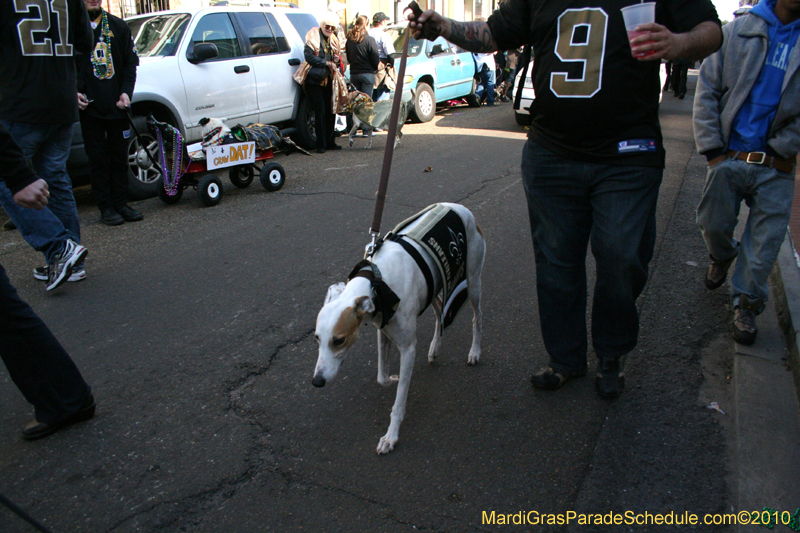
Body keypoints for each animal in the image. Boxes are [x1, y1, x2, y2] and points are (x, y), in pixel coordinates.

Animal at [312, 203, 488, 454]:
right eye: (317, 338)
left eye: (339, 340)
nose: (317, 382)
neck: (379, 283)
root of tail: (461, 208)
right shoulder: (383, 330)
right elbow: (381, 377)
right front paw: (393, 378)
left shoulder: (408, 348)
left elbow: (399, 401)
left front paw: (391, 436)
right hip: (434, 289)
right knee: (439, 313)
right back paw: (435, 347)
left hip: (473, 281)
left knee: (477, 316)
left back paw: (475, 351)